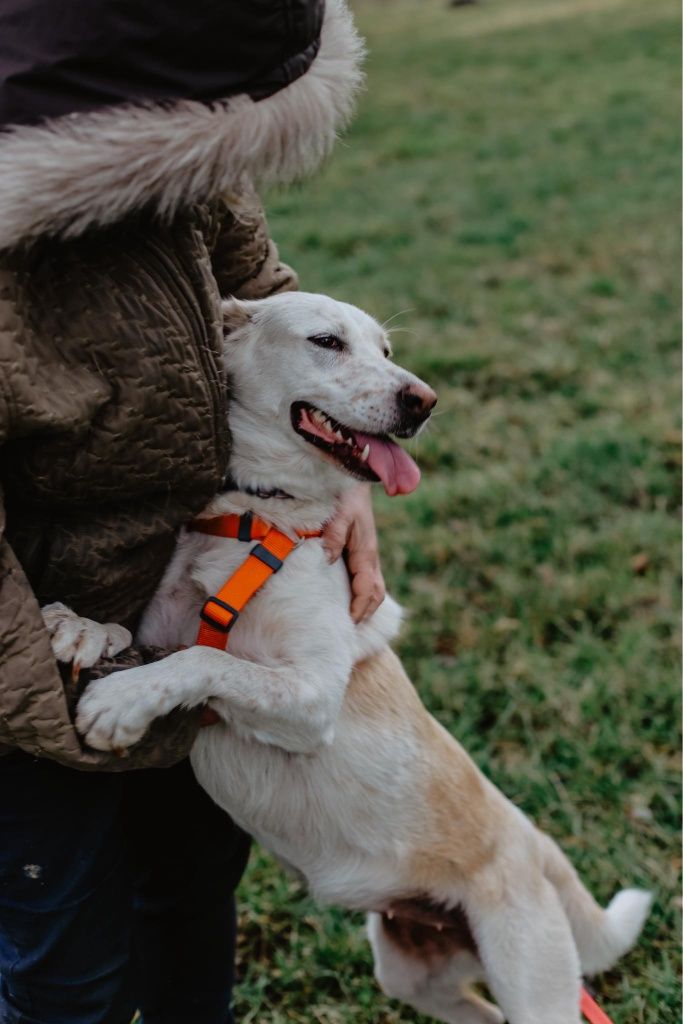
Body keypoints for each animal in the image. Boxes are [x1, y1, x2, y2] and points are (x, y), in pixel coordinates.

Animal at [44, 292, 651, 1024]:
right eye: (327, 342)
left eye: (386, 352)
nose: (423, 400)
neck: (254, 516)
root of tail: (534, 843)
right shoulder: (170, 628)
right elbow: (140, 638)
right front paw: (78, 629)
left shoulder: (310, 697)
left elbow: (203, 662)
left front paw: (119, 701)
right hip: (410, 972)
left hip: (533, 981)